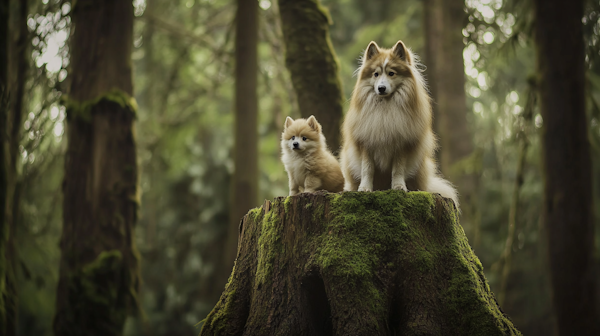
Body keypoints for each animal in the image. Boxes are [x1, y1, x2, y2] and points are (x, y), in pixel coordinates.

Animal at [338, 39, 460, 207]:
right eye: (376, 74)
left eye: (391, 73)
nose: (381, 88)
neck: (385, 107)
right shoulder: (367, 143)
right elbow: (367, 169)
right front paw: (364, 188)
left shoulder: (401, 144)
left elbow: (397, 169)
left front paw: (398, 187)